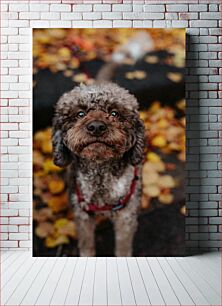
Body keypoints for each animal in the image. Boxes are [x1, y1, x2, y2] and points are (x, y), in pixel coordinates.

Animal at [52, 82, 146, 256]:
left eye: (114, 113)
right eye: (80, 113)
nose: (96, 127)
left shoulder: (126, 217)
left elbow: (123, 247)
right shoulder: (82, 215)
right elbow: (86, 244)